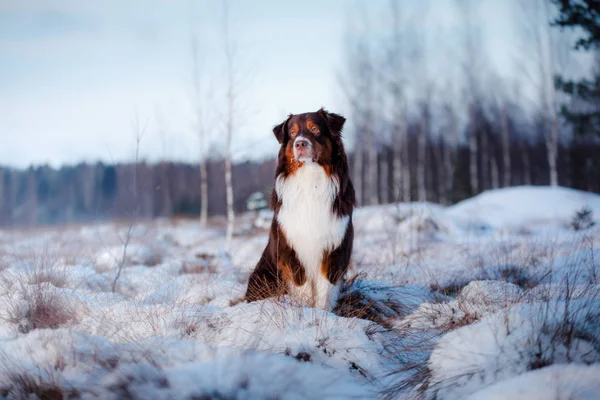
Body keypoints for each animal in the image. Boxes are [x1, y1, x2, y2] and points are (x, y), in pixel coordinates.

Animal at [245, 108, 354, 310]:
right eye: (293, 132)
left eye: (315, 129)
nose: (300, 143)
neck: (310, 178)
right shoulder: (290, 248)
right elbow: (302, 286)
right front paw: (305, 310)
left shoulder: (334, 247)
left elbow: (325, 291)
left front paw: (323, 313)